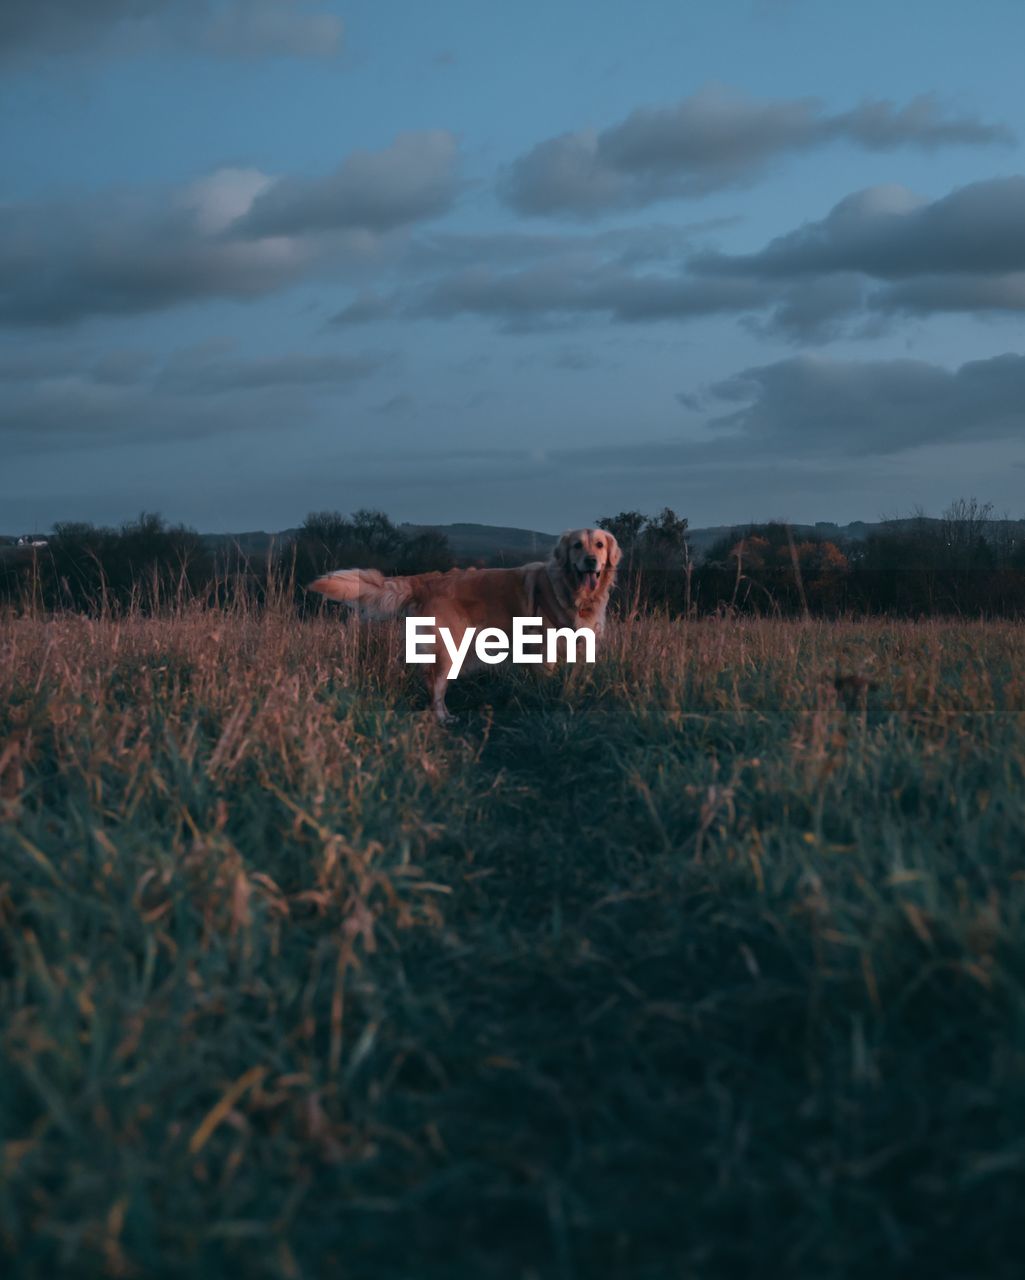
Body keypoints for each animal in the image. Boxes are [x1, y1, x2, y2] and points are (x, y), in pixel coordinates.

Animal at [308, 522, 619, 721]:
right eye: (577, 545)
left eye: (599, 545)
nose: (591, 560)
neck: (572, 590)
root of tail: (427, 579)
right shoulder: (541, 648)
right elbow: (546, 679)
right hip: (447, 648)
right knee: (435, 687)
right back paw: (443, 719)